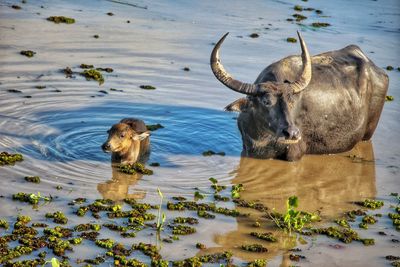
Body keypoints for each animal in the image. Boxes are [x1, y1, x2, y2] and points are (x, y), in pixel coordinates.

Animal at [209, 31, 388, 161]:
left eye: (292, 101)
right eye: (266, 101)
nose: (292, 133)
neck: (263, 138)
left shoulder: (295, 153)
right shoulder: (246, 149)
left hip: (367, 134)